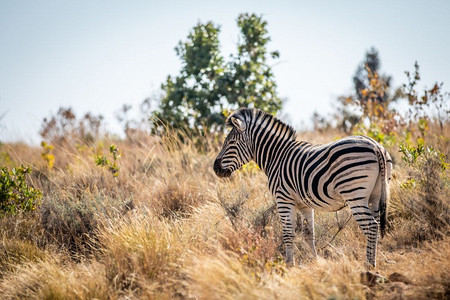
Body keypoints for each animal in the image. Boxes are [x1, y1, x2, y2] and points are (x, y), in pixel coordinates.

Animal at [213, 108, 392, 268]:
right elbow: (309, 234)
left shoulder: (283, 199)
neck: (276, 156)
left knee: (371, 226)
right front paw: (316, 261)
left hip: (354, 194)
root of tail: (376, 146)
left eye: (231, 143)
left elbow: (288, 233)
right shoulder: (304, 204)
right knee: (376, 225)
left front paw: (289, 265)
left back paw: (369, 265)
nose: (215, 168)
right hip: (376, 195)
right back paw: (373, 260)